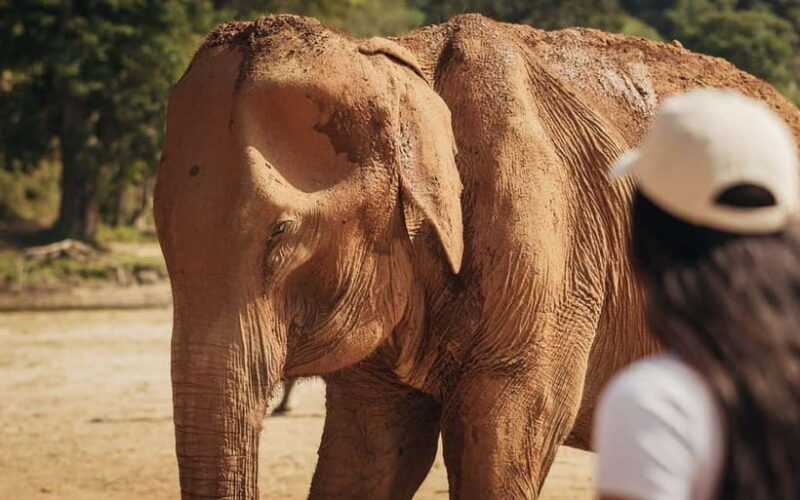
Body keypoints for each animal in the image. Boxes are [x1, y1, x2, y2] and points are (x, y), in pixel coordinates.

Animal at [154, 13, 800, 499]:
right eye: (161, 237)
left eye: (281, 234)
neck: (401, 64)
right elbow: (369, 452)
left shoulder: (550, 245)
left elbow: (503, 441)